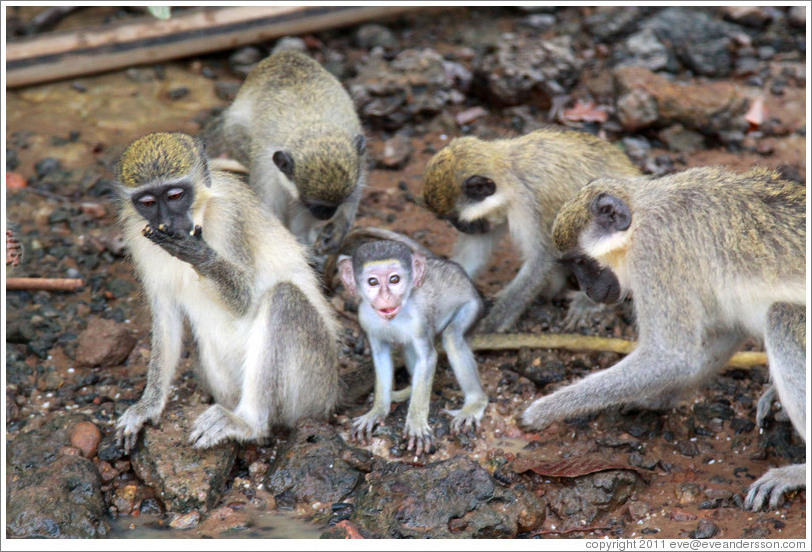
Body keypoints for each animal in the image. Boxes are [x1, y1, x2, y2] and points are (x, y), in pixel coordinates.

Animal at [113, 132, 340, 450]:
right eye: (147, 202)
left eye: (174, 195)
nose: (168, 223)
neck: (203, 213)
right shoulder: (138, 236)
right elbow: (166, 317)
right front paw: (148, 406)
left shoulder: (232, 218)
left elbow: (244, 299)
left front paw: (199, 255)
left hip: (314, 385)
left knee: (284, 297)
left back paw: (246, 423)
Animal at [217, 50, 366, 253]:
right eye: (314, 203)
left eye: (340, 201)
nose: (326, 215)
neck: (311, 123)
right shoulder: (267, 169)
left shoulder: (358, 154)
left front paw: (337, 229)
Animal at [338, 227, 488, 452]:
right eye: (373, 282)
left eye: (394, 279)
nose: (386, 298)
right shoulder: (365, 318)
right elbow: (381, 355)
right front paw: (377, 411)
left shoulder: (418, 319)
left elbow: (428, 358)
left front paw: (417, 422)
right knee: (408, 347)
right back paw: (406, 391)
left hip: (473, 305)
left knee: (452, 337)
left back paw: (475, 403)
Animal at [418, 125, 640, 332]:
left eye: (457, 220)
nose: (461, 228)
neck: (511, 173)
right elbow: (474, 253)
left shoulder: (535, 202)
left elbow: (541, 260)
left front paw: (490, 325)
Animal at [520, 166, 804, 512]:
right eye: (573, 265)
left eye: (582, 262)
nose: (587, 291)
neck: (642, 214)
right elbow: (720, 333)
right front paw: (650, 397)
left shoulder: (655, 252)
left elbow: (673, 357)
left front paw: (544, 410)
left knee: (781, 317)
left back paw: (798, 473)